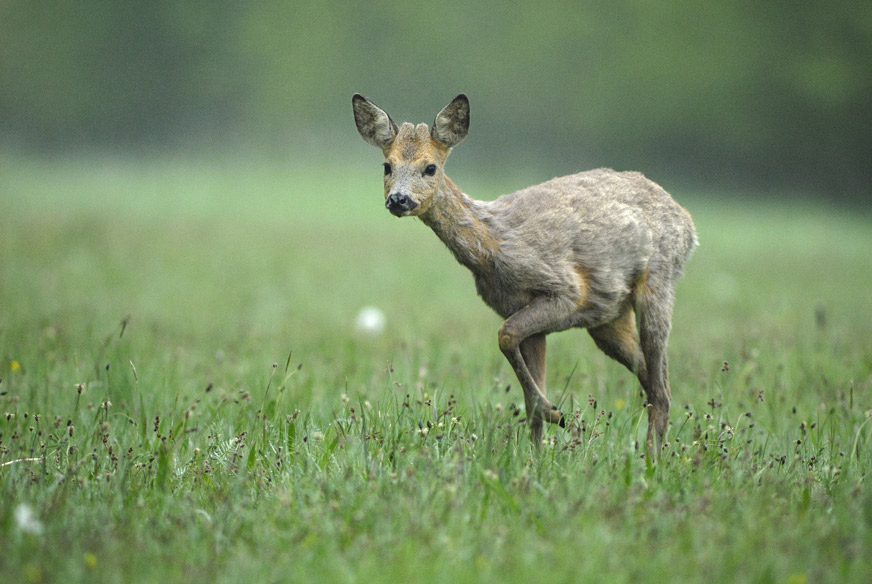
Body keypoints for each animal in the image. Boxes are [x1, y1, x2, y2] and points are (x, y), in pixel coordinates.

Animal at [350, 92, 700, 456]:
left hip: (658, 282)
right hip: (609, 318)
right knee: (650, 377)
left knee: (661, 387)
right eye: (387, 166)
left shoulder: (566, 290)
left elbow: (505, 336)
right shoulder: (522, 313)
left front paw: (558, 415)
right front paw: (538, 447)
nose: (398, 200)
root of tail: (687, 221)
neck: (492, 245)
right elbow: (524, 372)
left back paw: (652, 457)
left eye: (430, 167)